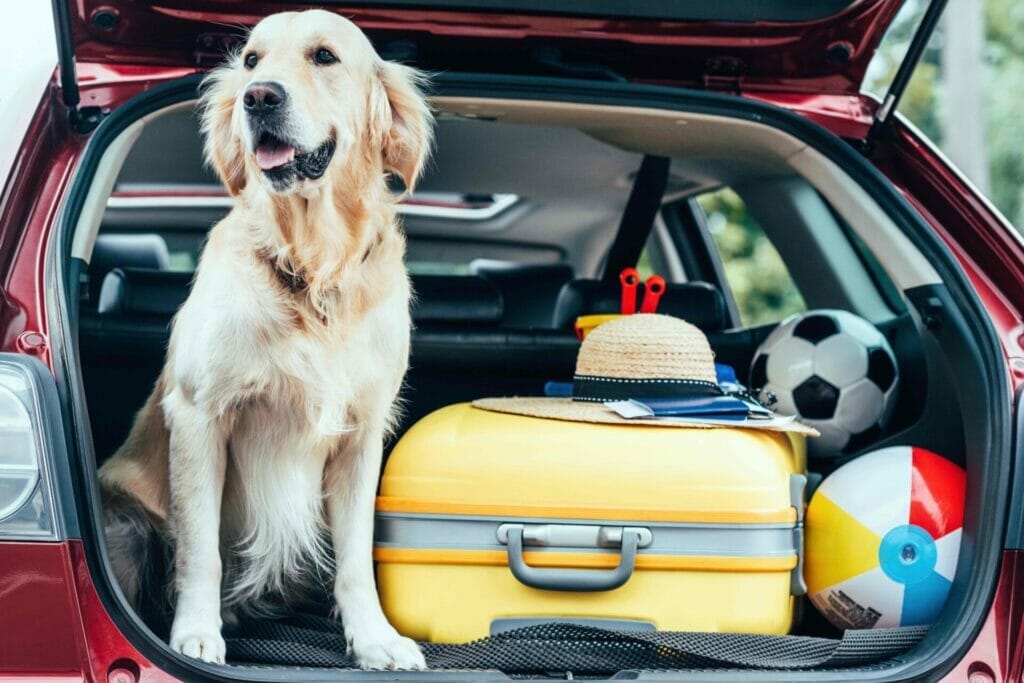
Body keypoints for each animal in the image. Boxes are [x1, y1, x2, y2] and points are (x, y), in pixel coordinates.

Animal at [96, 7, 432, 671]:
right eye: (252, 60)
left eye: (324, 56)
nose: (258, 97)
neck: (312, 268)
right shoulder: (200, 415)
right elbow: (200, 548)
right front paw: (196, 633)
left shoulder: (362, 433)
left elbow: (356, 559)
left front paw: (375, 639)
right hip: (126, 520)